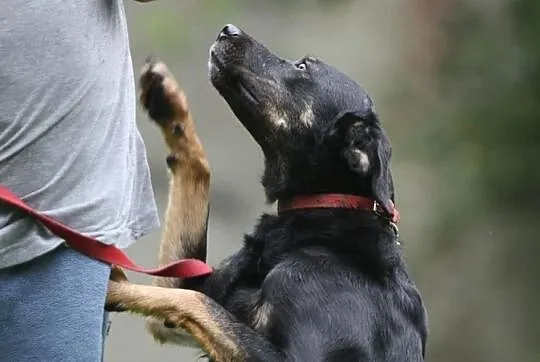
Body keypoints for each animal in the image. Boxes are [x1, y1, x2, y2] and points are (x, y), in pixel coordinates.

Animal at [105, 24, 426, 360]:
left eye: (302, 67)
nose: (228, 29)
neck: (325, 215)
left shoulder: (290, 354)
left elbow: (195, 301)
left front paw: (114, 287)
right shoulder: (180, 300)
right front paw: (170, 104)